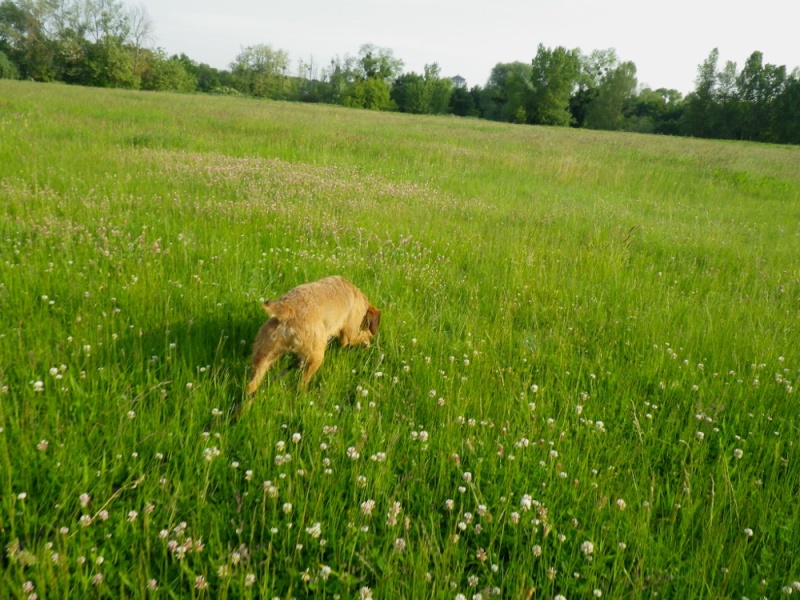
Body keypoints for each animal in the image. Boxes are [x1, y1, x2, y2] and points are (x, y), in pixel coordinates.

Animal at [245, 276, 380, 394]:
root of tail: (289, 310)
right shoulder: (350, 335)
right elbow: (363, 335)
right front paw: (368, 341)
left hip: (264, 354)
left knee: (251, 385)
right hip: (316, 355)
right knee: (301, 384)